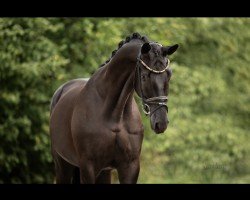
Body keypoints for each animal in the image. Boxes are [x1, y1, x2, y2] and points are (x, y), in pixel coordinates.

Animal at [49, 33, 178, 184]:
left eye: (169, 74)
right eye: (144, 76)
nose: (161, 122)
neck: (114, 116)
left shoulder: (130, 166)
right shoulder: (88, 167)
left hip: (103, 172)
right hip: (62, 165)